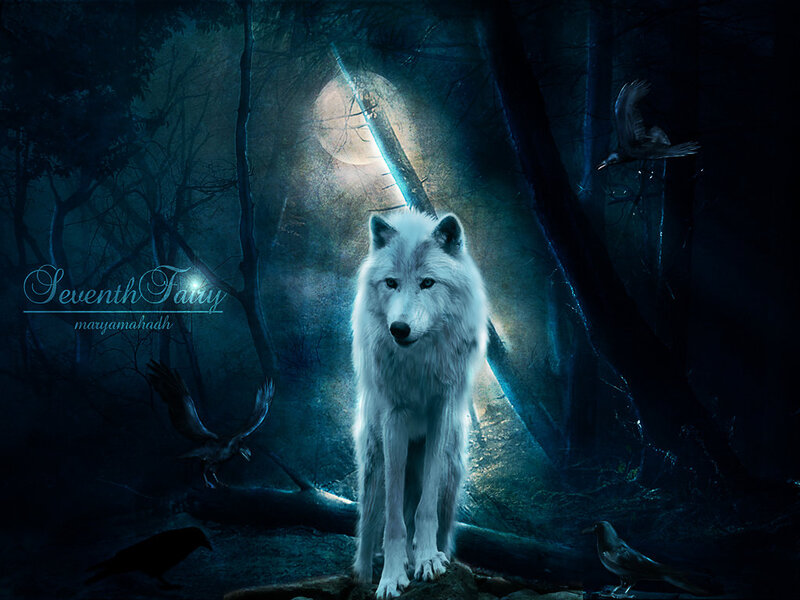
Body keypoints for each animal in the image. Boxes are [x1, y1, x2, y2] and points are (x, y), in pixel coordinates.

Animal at [351, 210, 488, 599]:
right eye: (391, 283)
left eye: (428, 283)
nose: (399, 328)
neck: (419, 361)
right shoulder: (394, 419)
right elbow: (395, 521)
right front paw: (391, 576)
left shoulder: (441, 412)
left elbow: (423, 512)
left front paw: (427, 560)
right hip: (373, 468)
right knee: (369, 531)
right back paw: (367, 575)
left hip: (452, 474)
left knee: (437, 518)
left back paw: (431, 556)